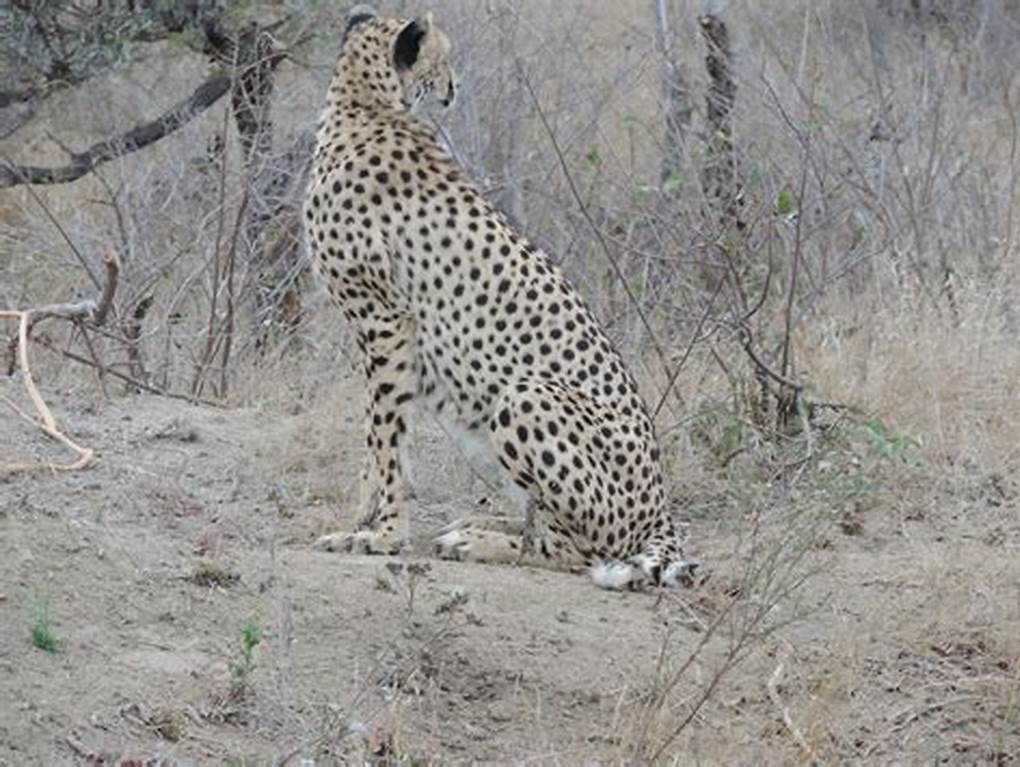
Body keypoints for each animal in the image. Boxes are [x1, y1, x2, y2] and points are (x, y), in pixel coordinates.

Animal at [301, 5, 693, 587]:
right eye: (444, 56)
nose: (454, 87)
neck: (366, 105)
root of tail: (662, 508)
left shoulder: (385, 321)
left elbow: (385, 433)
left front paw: (380, 534)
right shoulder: (384, 327)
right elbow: (378, 438)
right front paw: (365, 518)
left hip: (522, 395)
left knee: (573, 550)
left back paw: (478, 541)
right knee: (543, 522)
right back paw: (477, 525)